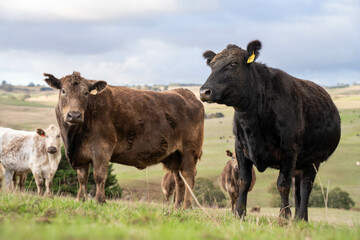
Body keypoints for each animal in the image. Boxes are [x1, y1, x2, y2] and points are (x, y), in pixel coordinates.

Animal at [43, 71, 204, 208]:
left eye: (86, 93)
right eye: (64, 91)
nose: (74, 115)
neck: (73, 138)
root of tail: (186, 93)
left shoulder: (102, 148)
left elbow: (99, 176)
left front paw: (100, 201)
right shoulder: (81, 156)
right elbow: (82, 179)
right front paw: (80, 200)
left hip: (189, 151)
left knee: (188, 176)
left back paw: (186, 206)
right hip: (174, 156)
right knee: (179, 179)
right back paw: (177, 207)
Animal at [200, 39, 340, 221]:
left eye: (233, 64)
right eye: (212, 65)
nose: (204, 91)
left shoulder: (289, 149)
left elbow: (282, 184)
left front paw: (283, 217)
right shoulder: (240, 148)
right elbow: (244, 182)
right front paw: (239, 214)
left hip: (313, 160)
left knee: (305, 187)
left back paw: (301, 217)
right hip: (300, 164)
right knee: (298, 189)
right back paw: (299, 219)